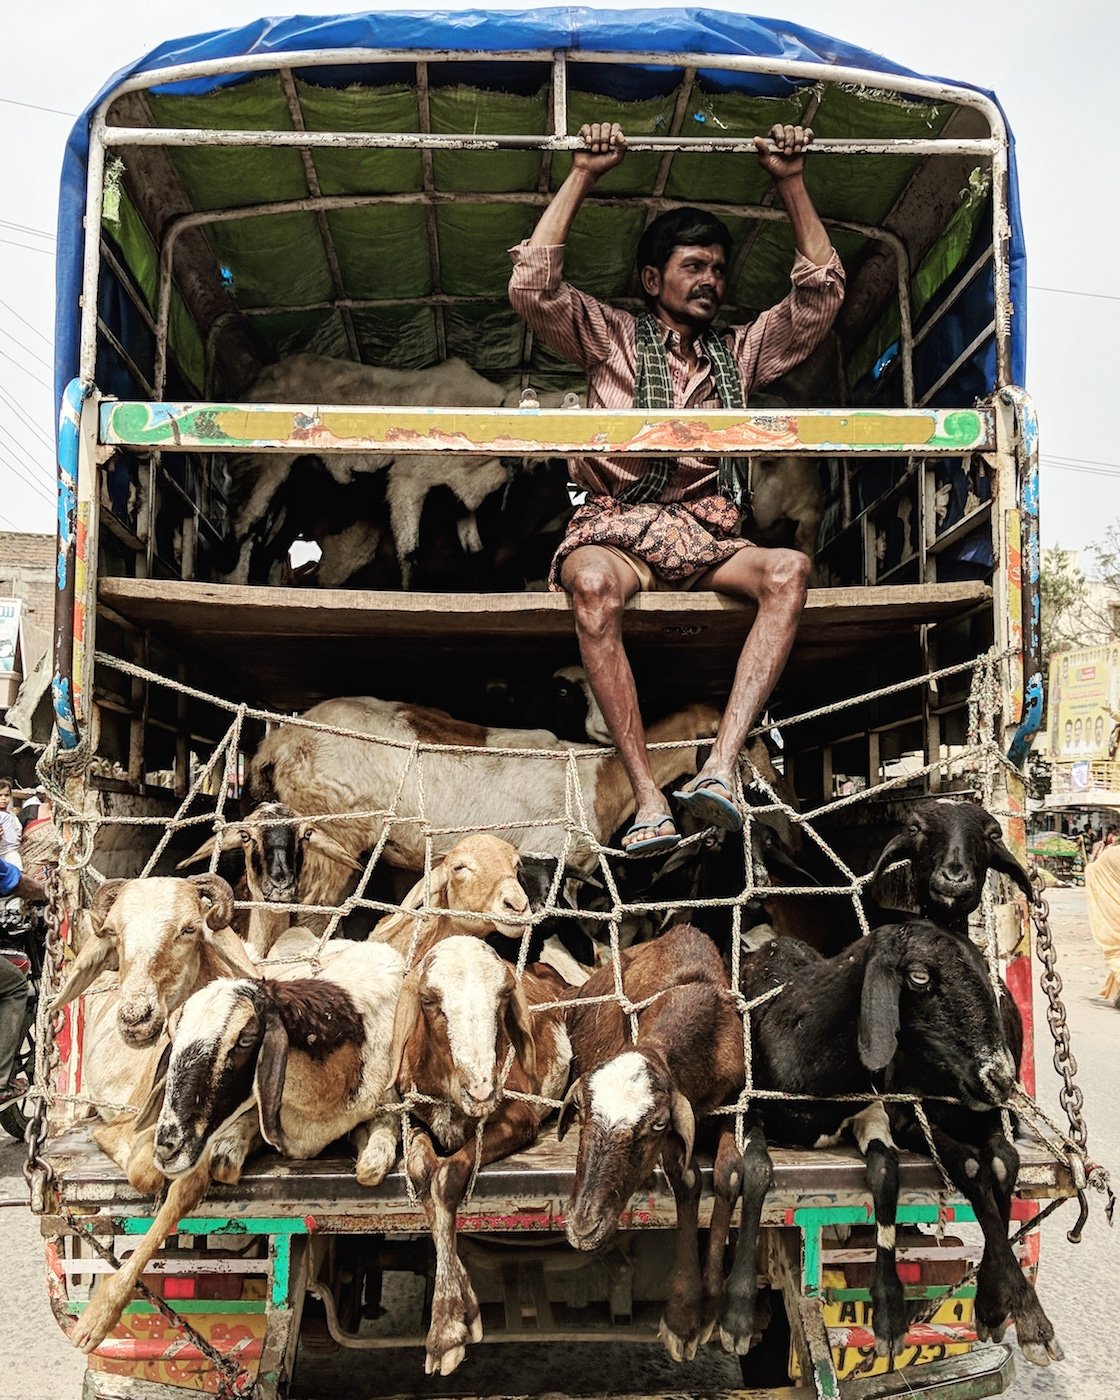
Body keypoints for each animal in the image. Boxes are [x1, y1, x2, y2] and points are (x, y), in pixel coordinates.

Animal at [70, 940, 406, 1355]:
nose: (168, 1145)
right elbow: (182, 1182)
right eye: (173, 1039)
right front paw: (96, 1320)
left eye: (245, 1040)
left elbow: (370, 1166)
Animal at [392, 935, 568, 1372]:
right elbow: (421, 1170)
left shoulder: (519, 1118)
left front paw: (446, 1330)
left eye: (504, 995)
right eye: (429, 999)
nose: (482, 1090)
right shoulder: (414, 1117)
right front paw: (462, 1306)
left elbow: (446, 1177)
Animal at [554, 924, 756, 1360]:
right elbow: (688, 1179)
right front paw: (683, 1316)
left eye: (658, 1124)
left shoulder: (730, 1104)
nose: (582, 1227)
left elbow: (731, 1175)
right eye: (580, 1112)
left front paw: (711, 1306)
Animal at [733, 918, 1058, 1366]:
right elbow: (756, 1168)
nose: (1002, 1076)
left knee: (1000, 1160)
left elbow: (896, 1169)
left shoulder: (884, 1111)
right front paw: (739, 1315)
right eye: (919, 977)